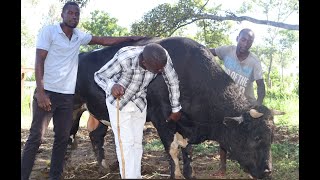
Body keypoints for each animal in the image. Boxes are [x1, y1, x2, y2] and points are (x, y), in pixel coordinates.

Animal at [69, 36, 284, 179]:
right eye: (255, 138)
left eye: (272, 137)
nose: (268, 171)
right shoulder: (162, 119)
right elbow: (172, 149)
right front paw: (176, 174)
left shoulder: (185, 124)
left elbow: (187, 150)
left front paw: (190, 173)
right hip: (74, 107)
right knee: (70, 134)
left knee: (96, 136)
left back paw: (103, 167)